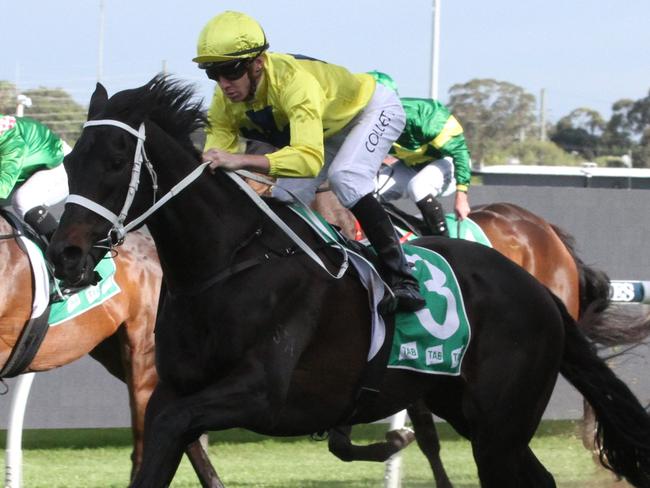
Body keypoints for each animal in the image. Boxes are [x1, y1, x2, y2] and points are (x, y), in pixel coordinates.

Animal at [45, 78, 648, 488]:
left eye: (117, 159)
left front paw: (393, 441)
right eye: (72, 162)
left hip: (500, 425)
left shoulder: (259, 392)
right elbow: (160, 446)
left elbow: (173, 426)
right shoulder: (177, 388)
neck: (228, 263)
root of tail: (537, 288)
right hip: (475, 414)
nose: (64, 254)